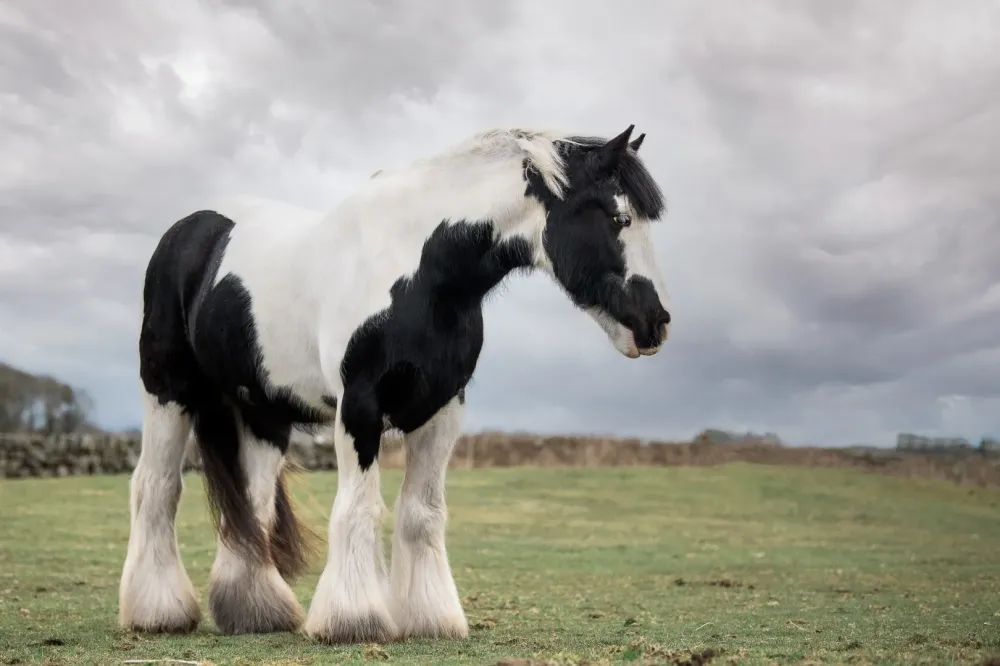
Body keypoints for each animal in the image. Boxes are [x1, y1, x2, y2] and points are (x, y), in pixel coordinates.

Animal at [118, 124, 671, 644]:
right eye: (619, 218)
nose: (656, 323)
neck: (421, 273)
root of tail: (192, 229)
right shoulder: (359, 406)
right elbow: (359, 508)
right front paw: (353, 620)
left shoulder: (443, 409)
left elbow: (422, 513)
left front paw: (430, 618)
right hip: (167, 390)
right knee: (157, 486)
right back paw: (158, 612)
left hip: (263, 412)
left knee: (252, 503)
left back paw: (255, 612)